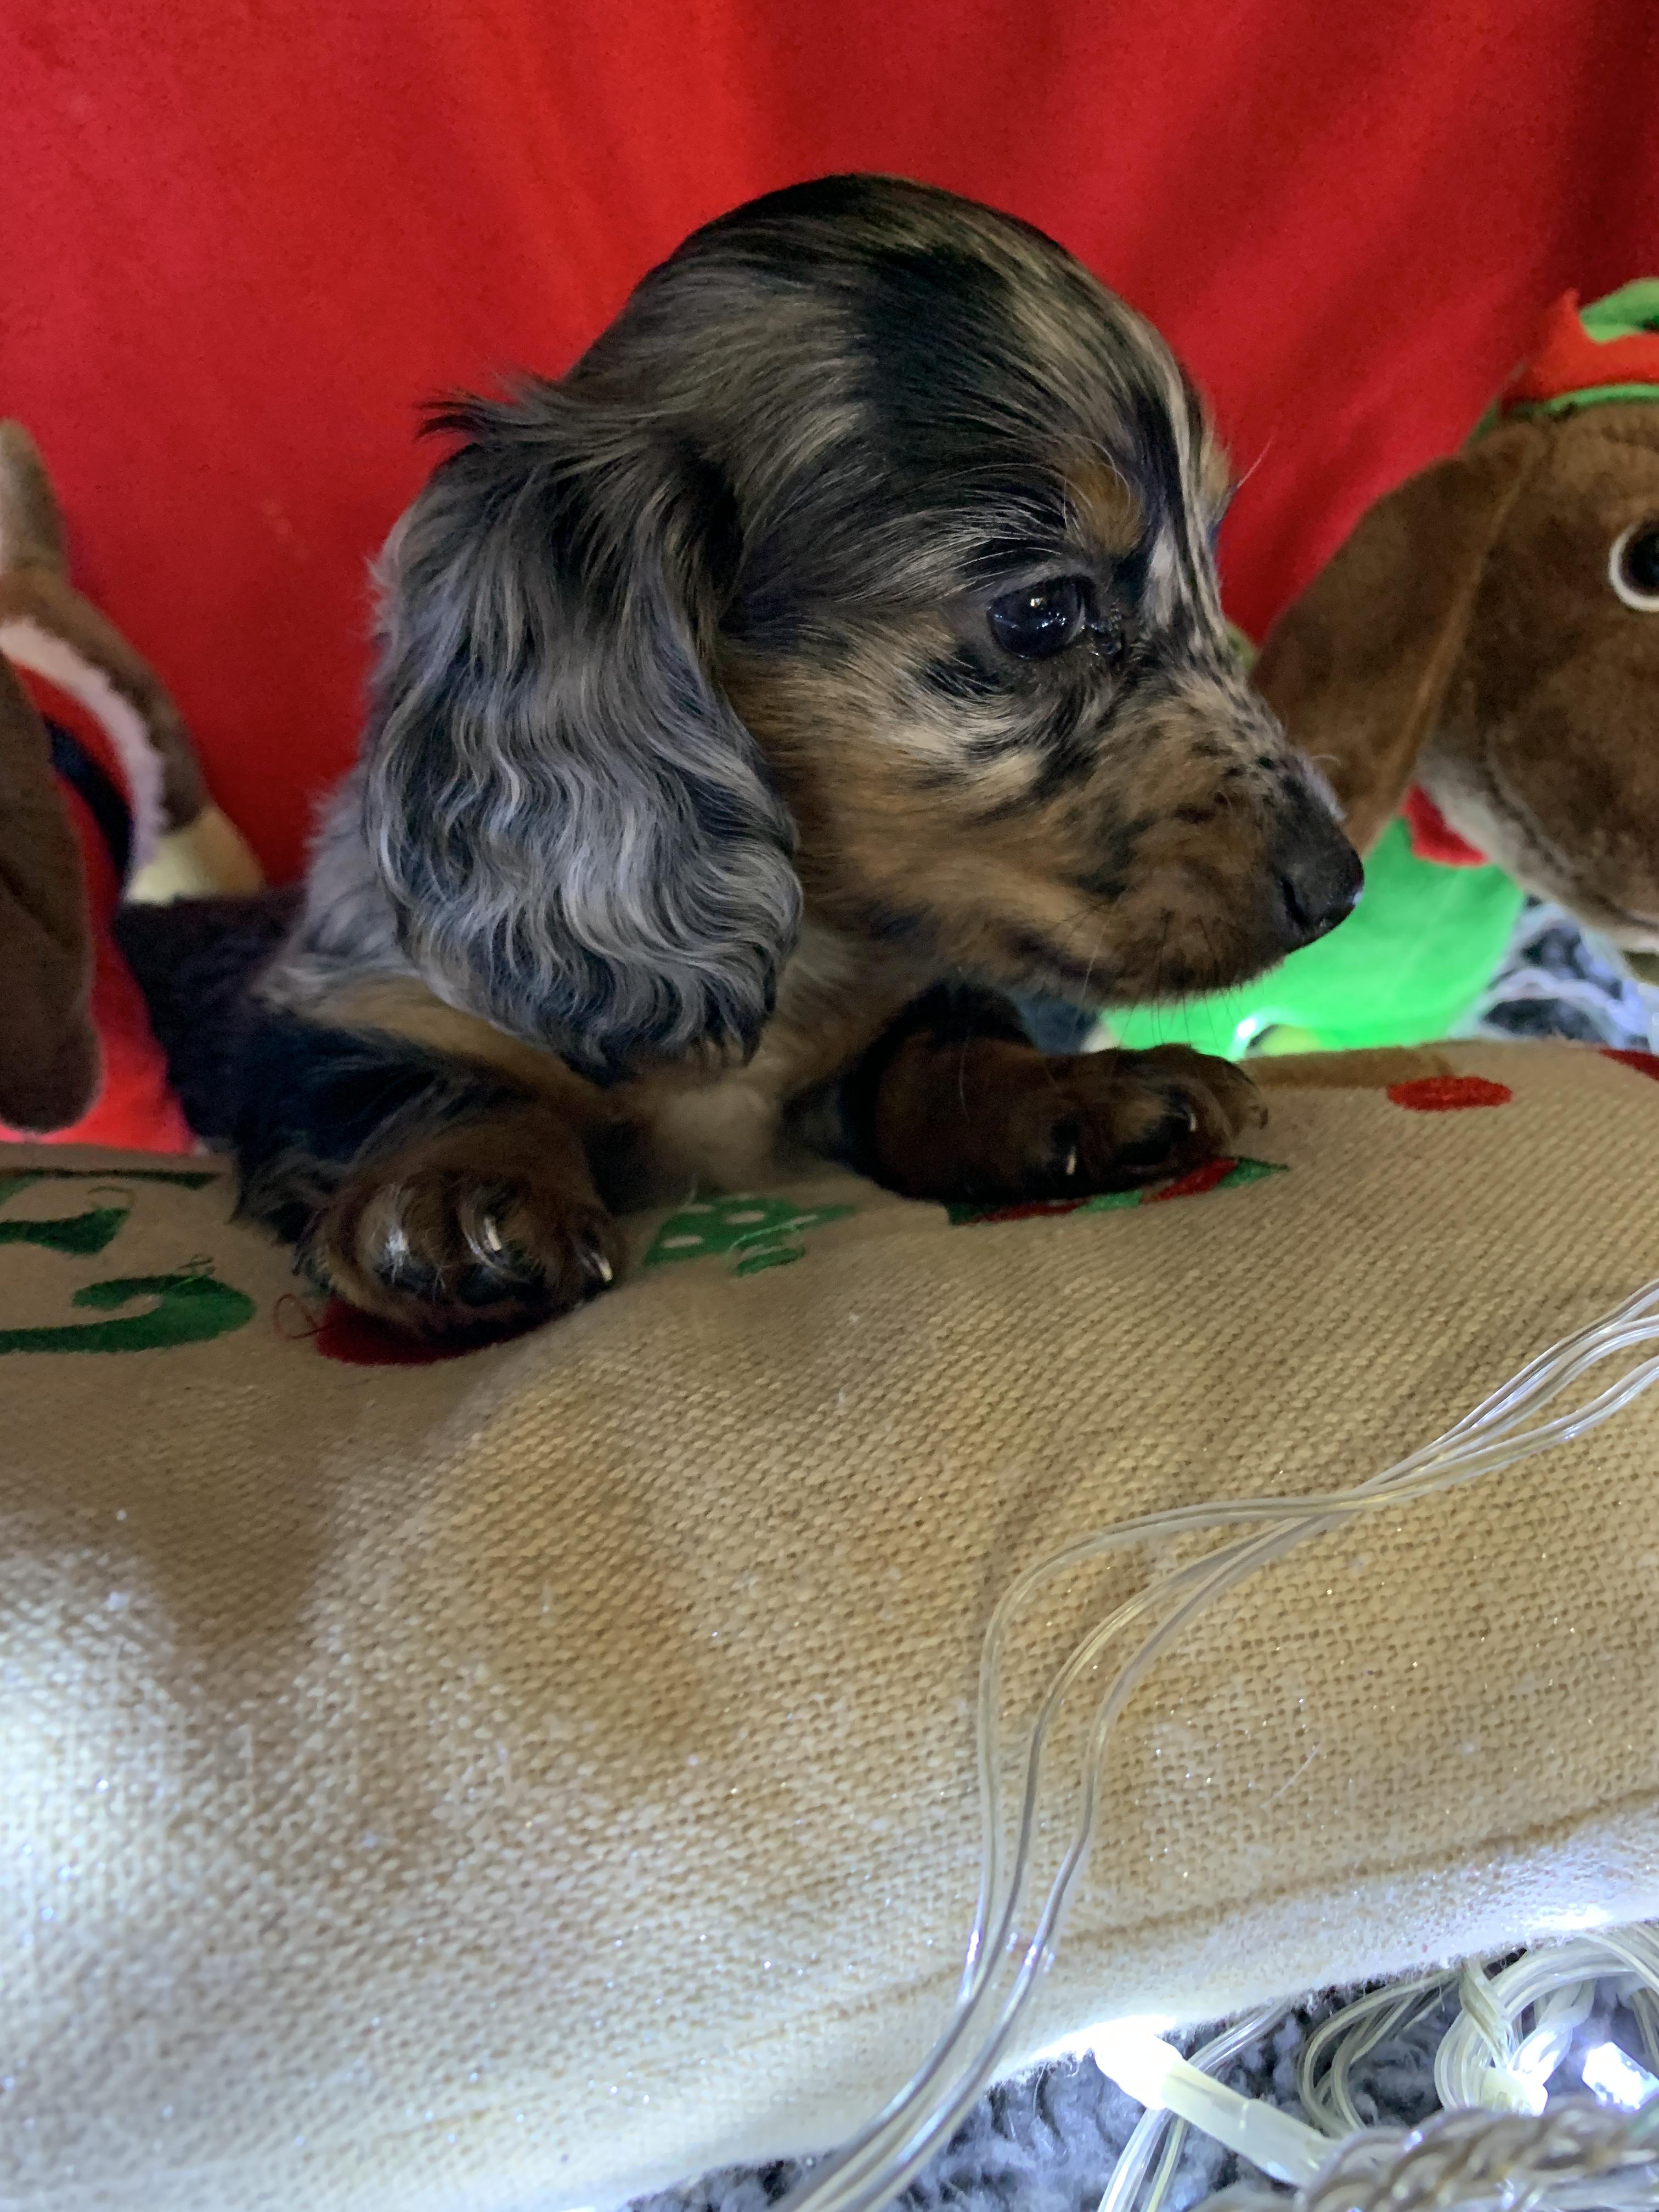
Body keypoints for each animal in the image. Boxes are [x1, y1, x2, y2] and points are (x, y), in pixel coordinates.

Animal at [231, 174, 1361, 1337]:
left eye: (1212, 565)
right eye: (1041, 612)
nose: (1339, 889)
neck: (798, 931)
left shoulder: (899, 1009)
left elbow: (946, 1044)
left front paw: (1086, 1093)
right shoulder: (347, 1007)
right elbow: (430, 1082)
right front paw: (457, 1198)